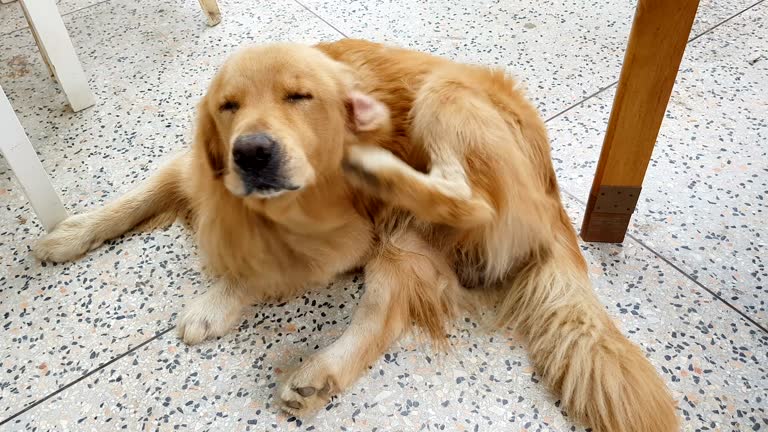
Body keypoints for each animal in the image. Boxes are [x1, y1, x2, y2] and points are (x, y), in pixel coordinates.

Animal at [33, 38, 680, 430]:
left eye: (300, 96)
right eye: (228, 106)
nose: (252, 153)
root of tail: (552, 193)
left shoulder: (349, 238)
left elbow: (267, 269)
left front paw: (215, 303)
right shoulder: (193, 169)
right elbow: (134, 197)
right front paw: (68, 234)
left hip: (441, 110)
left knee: (458, 208)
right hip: (407, 243)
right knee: (386, 312)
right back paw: (321, 374)